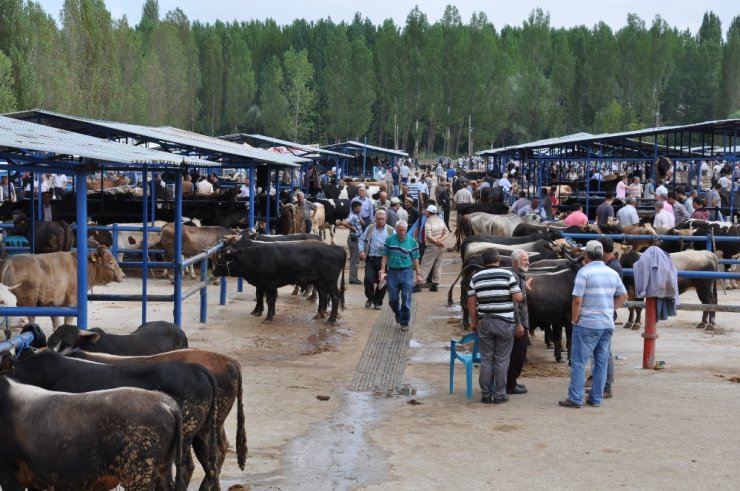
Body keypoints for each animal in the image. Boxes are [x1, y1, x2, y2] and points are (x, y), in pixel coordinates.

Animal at [211, 241, 344, 324]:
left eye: (222, 259)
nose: (213, 272)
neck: (255, 258)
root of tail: (337, 248)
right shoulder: (262, 284)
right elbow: (261, 297)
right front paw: (259, 312)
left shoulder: (269, 284)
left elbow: (269, 300)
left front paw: (268, 317)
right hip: (319, 280)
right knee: (322, 294)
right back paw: (319, 314)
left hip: (330, 281)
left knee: (335, 296)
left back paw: (331, 320)